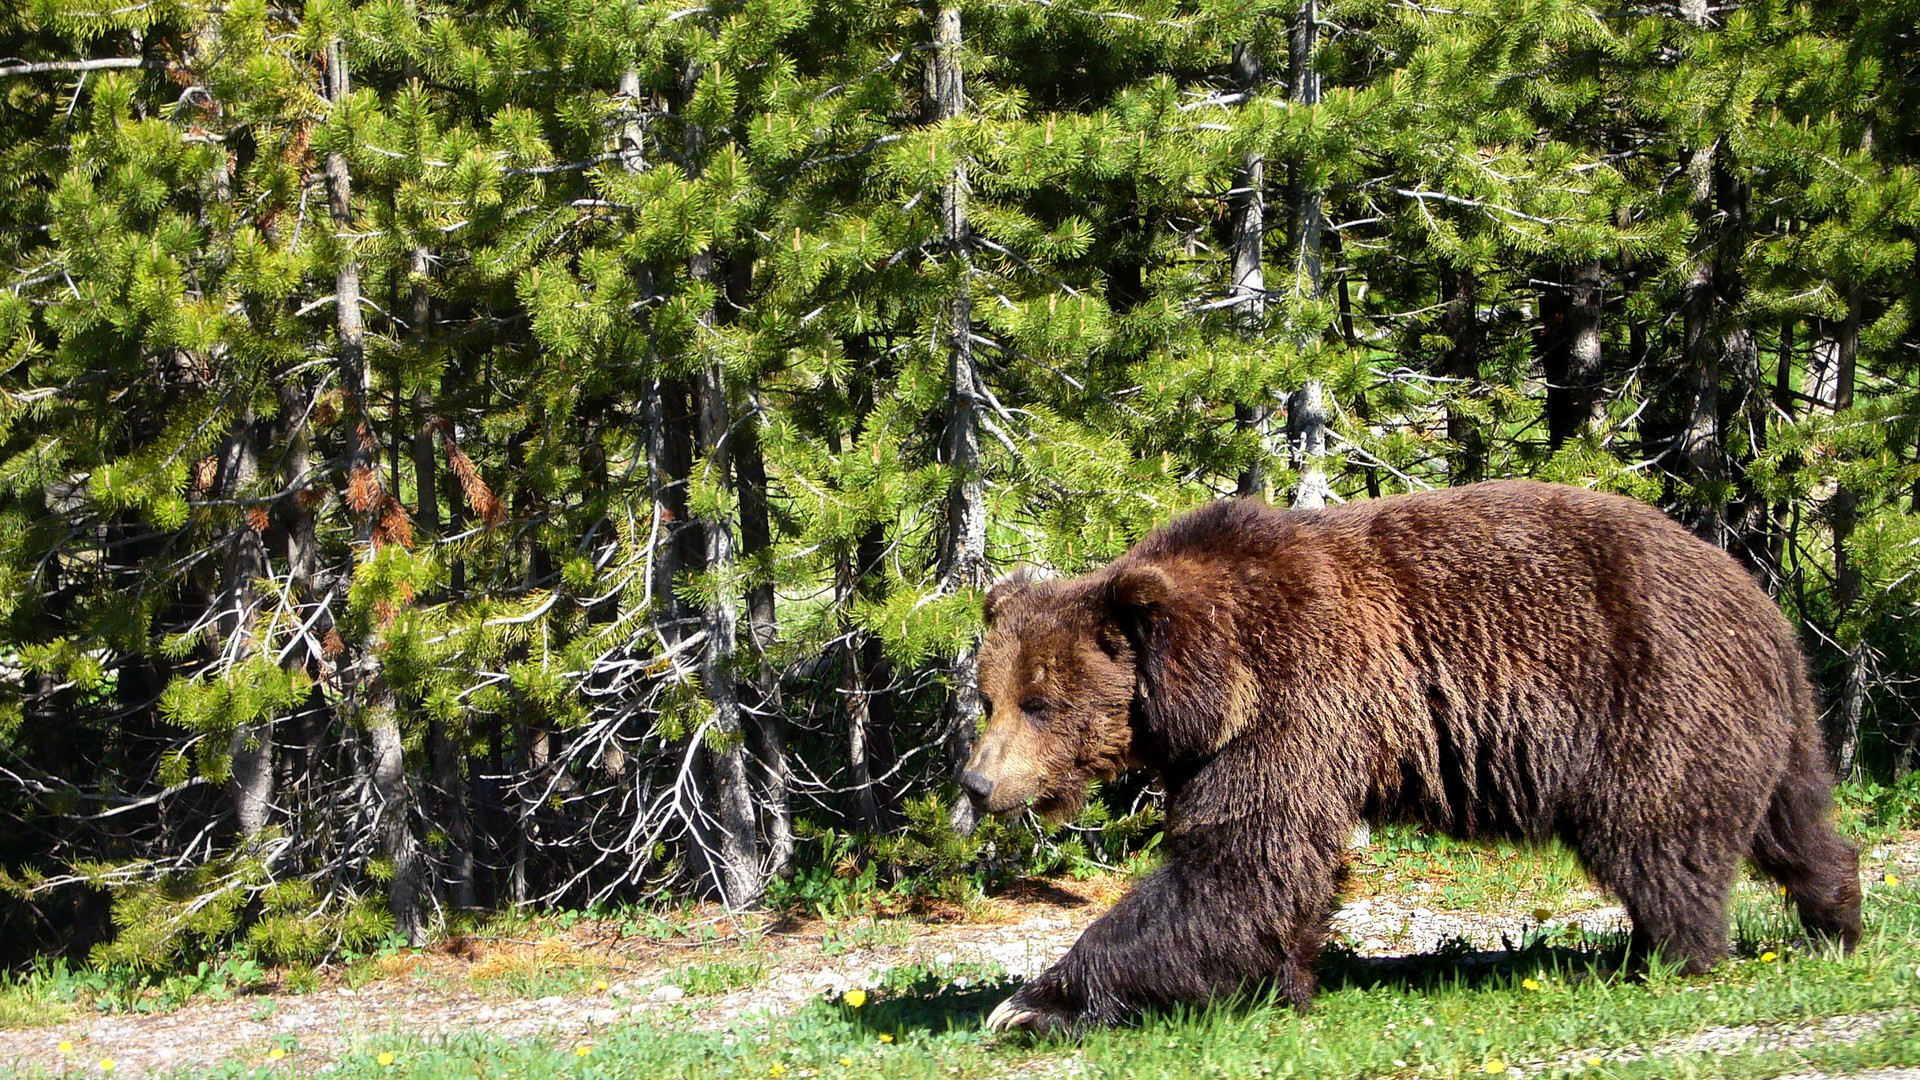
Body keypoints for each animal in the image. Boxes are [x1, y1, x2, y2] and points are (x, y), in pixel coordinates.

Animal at [960, 474, 1858, 1030]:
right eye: (988, 697)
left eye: (1041, 703)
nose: (975, 783)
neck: (1203, 679)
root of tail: (1761, 601)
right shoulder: (1237, 738)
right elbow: (1271, 874)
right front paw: (1284, 986)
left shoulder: (1298, 696)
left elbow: (1243, 859)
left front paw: (1029, 1005)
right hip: (1769, 722)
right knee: (1795, 823)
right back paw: (1835, 920)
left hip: (1651, 693)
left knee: (1658, 836)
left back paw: (1668, 957)